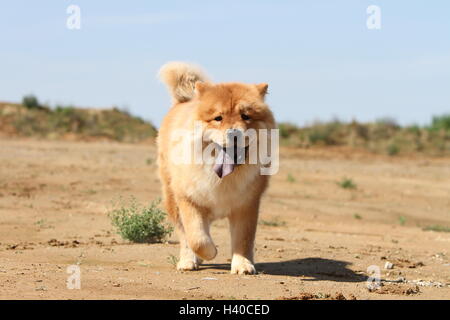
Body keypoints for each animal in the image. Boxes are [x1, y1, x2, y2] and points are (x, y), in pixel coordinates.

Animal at [158, 62, 278, 276]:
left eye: (246, 116)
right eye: (218, 118)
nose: (234, 133)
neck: (223, 177)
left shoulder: (246, 204)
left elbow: (243, 239)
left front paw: (243, 265)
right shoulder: (188, 199)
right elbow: (196, 238)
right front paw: (210, 252)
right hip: (172, 198)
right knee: (184, 234)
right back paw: (188, 261)